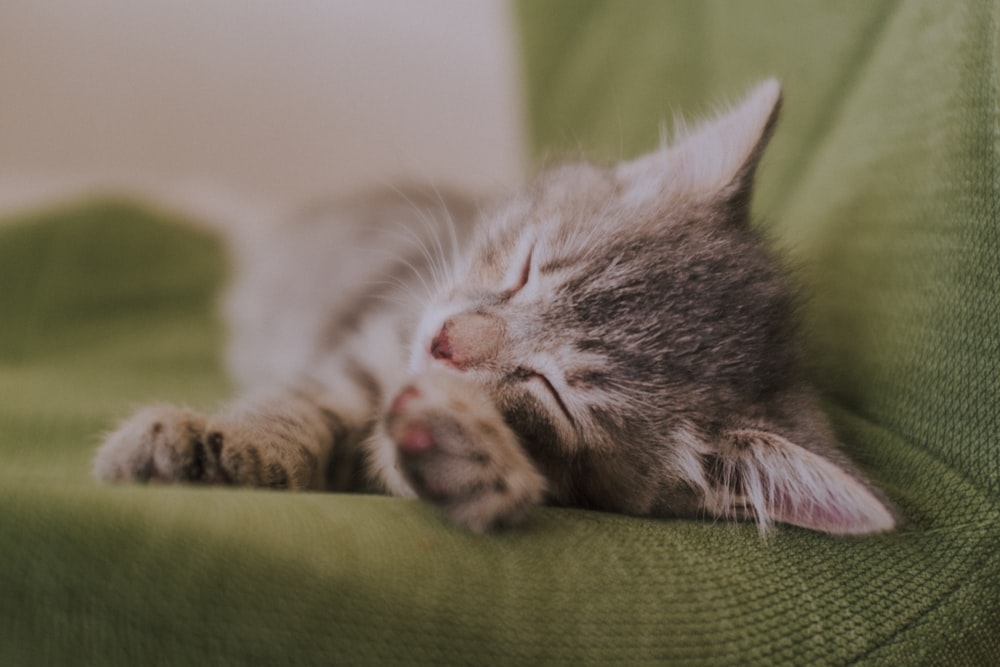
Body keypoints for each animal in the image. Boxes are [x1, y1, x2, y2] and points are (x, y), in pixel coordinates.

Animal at [95, 79, 900, 536]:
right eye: (525, 266)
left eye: (551, 392)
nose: (447, 341)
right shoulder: (384, 329)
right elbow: (306, 402)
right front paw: (219, 442)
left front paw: (472, 454)